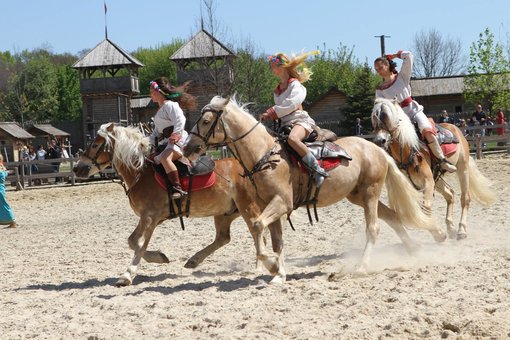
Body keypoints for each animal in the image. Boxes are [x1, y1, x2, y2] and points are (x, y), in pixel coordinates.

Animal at [72, 123, 286, 286]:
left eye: (95, 144)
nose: (76, 168)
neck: (141, 173)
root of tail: (252, 168)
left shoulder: (150, 216)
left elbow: (138, 242)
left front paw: (128, 273)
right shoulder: (153, 218)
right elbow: (135, 242)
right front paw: (158, 257)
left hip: (246, 206)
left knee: (257, 232)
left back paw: (264, 265)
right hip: (225, 212)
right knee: (224, 238)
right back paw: (195, 260)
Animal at [183, 94, 442, 278]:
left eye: (205, 121)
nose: (188, 147)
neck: (266, 155)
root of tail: (376, 148)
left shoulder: (281, 203)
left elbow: (257, 226)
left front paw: (271, 265)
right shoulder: (270, 206)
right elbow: (276, 240)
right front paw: (278, 273)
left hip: (370, 193)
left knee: (374, 228)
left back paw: (361, 267)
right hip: (358, 195)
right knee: (393, 217)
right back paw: (414, 249)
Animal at [370, 97, 494, 240]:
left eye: (387, 116)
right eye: (374, 119)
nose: (380, 140)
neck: (408, 150)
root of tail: (456, 129)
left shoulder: (428, 181)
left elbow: (426, 208)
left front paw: (438, 233)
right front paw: (439, 233)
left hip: (462, 169)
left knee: (465, 198)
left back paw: (461, 230)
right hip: (437, 178)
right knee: (450, 194)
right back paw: (450, 227)